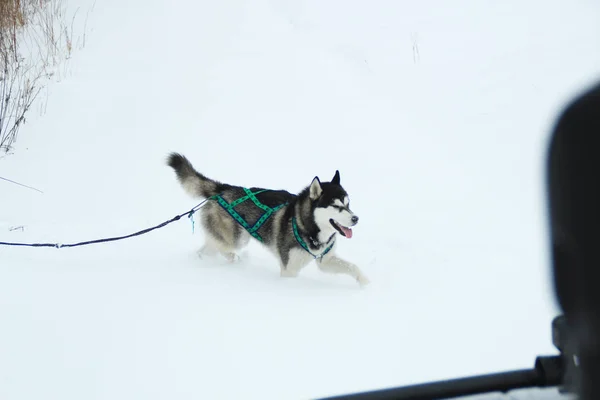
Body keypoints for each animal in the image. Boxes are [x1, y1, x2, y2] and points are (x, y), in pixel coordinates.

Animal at [166, 152, 368, 286]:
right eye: (337, 206)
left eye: (348, 204)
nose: (356, 218)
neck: (309, 228)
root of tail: (223, 188)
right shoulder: (289, 270)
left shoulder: (325, 260)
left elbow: (353, 267)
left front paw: (365, 283)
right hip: (238, 238)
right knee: (223, 246)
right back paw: (232, 257)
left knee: (208, 246)